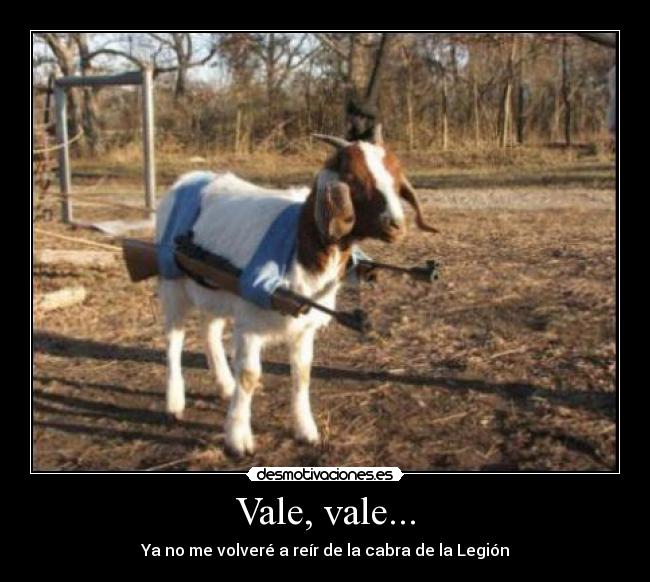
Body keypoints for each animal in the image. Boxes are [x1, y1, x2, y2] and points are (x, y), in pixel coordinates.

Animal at [155, 126, 436, 456]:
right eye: (353, 178)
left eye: (395, 177)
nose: (396, 225)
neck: (298, 245)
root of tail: (185, 179)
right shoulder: (249, 323)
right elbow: (249, 376)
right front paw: (238, 439)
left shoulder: (304, 327)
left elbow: (302, 374)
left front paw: (306, 431)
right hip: (172, 283)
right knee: (174, 339)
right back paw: (175, 402)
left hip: (213, 290)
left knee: (209, 328)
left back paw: (224, 386)